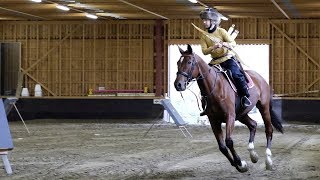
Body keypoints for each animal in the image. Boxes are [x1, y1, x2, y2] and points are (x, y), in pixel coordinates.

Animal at [175, 44, 282, 172]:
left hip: (264, 108)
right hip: (241, 114)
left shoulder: (229, 116)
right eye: (178, 62)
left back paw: (268, 160)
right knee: (253, 124)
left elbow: (229, 141)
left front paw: (240, 163)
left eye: (189, 62)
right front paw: (238, 164)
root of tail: (260, 78)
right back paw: (253, 155)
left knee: (268, 130)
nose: (178, 84)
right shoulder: (213, 120)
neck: (215, 87)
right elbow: (222, 146)